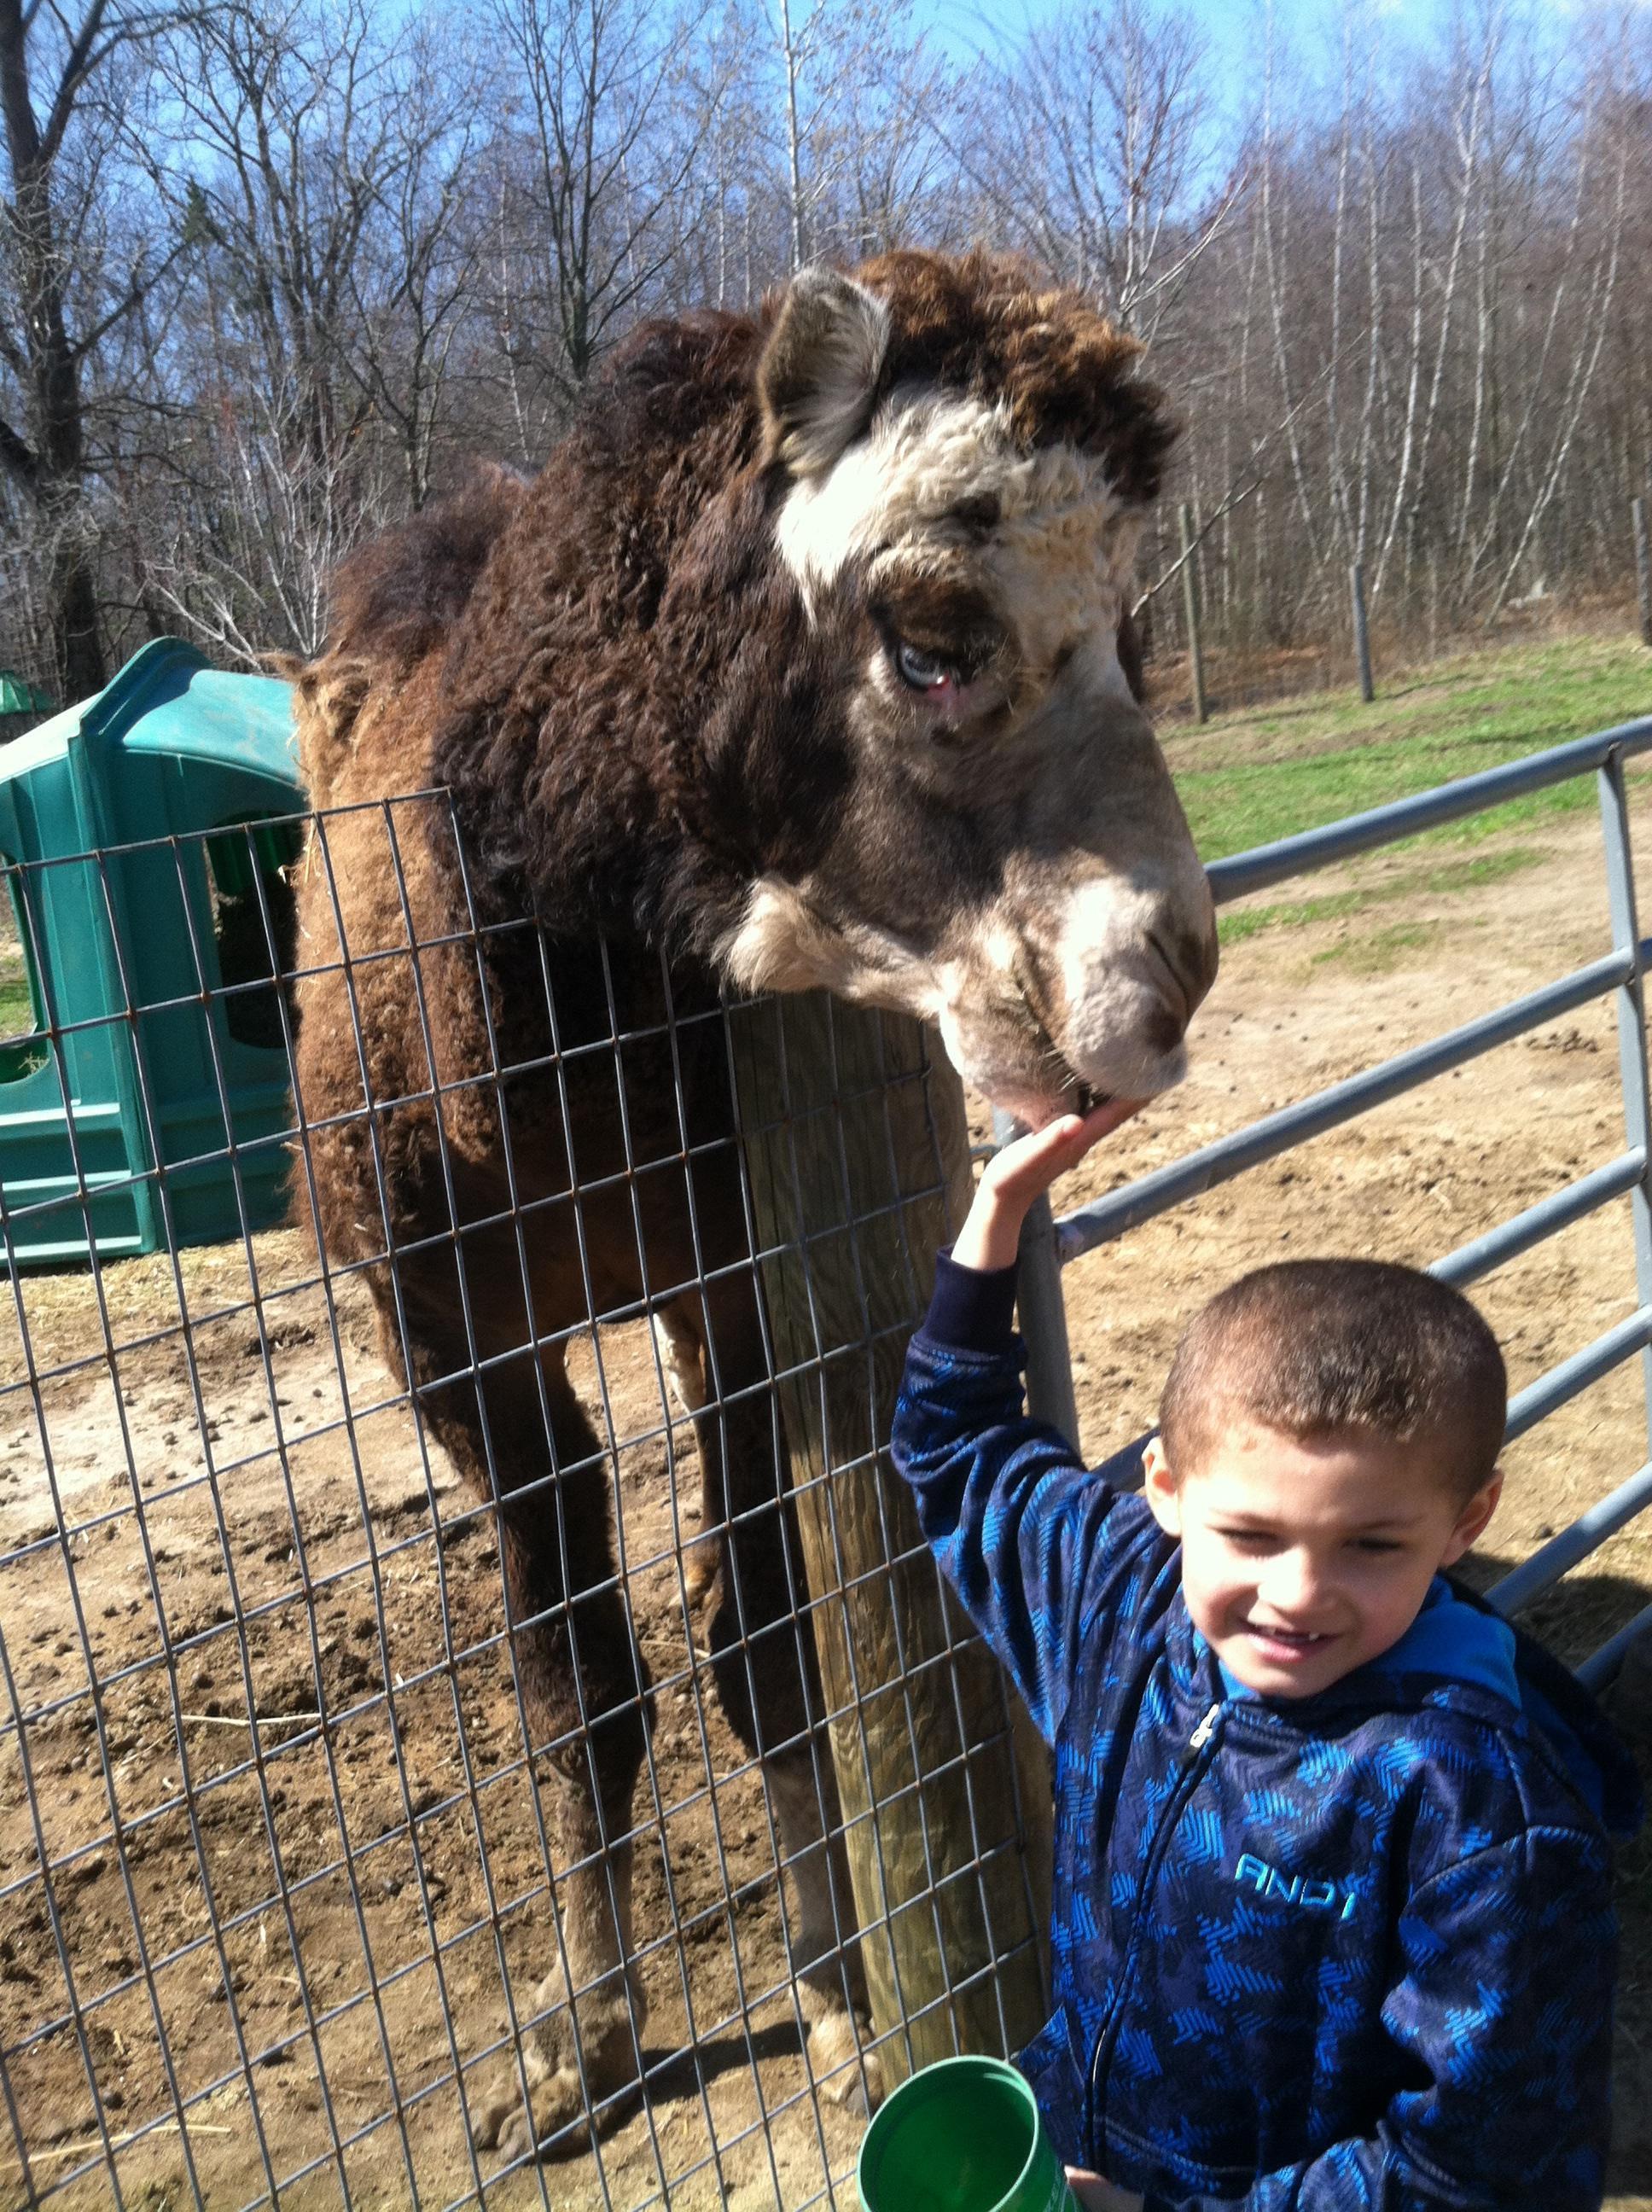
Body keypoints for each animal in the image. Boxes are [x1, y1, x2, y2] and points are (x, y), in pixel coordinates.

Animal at [287, 247, 1212, 2158]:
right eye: (930, 640)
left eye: (1133, 633)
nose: (1168, 969)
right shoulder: (438, 1325)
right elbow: (575, 1683)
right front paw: (573, 2048)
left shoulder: (726, 1286)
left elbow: (765, 1652)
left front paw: (841, 2003)